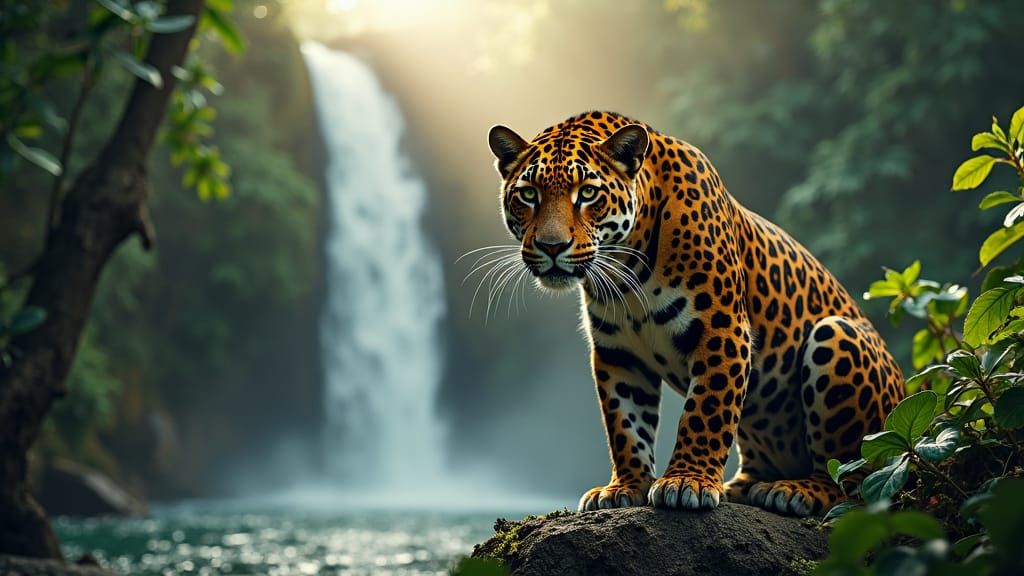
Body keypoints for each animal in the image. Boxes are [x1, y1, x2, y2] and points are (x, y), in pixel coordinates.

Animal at [485, 111, 904, 517]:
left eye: (588, 193)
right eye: (528, 194)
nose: (552, 246)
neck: (625, 267)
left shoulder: (722, 329)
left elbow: (706, 409)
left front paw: (687, 482)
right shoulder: (618, 352)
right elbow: (625, 424)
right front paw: (624, 487)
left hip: (839, 338)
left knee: (853, 479)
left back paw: (795, 491)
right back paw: (745, 488)